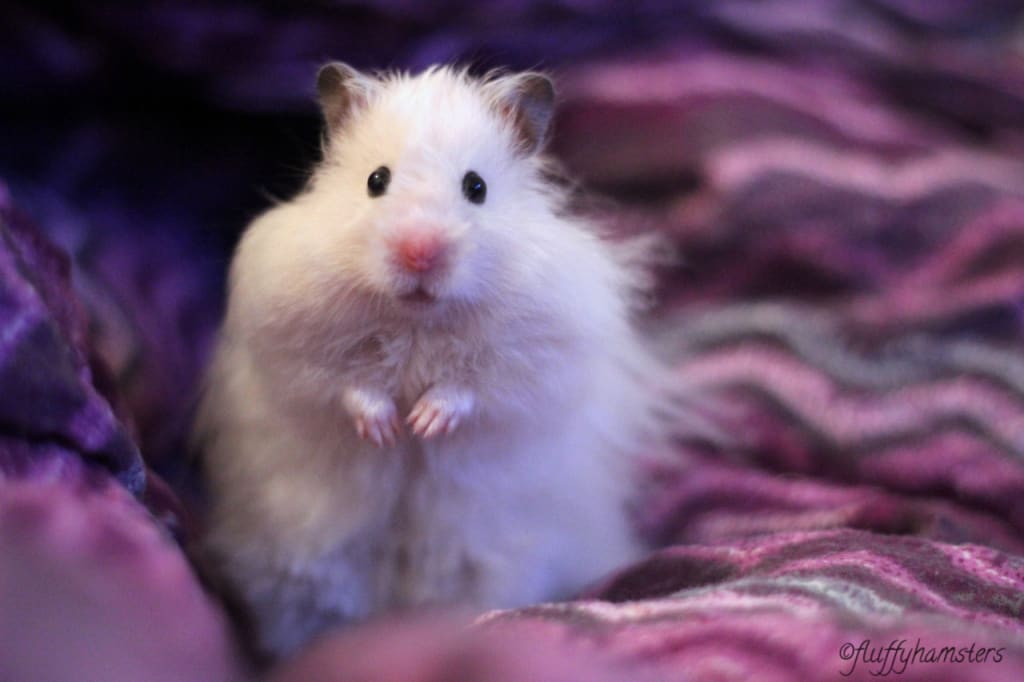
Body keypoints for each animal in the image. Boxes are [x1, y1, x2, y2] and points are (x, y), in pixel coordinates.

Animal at [195, 63, 672, 659]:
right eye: (376, 180)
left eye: (476, 187)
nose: (418, 252)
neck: (417, 321)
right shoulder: (292, 339)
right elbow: (344, 384)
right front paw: (386, 431)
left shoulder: (534, 355)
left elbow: (476, 387)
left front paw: (424, 422)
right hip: (300, 569)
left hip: (481, 559)